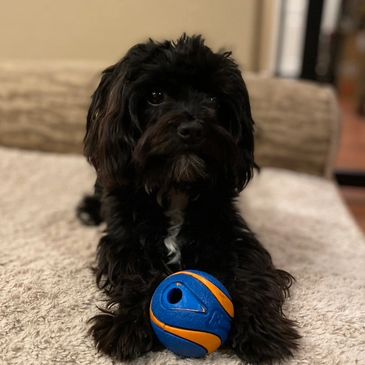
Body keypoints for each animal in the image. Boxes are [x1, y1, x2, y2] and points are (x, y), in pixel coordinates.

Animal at [77, 33, 298, 362]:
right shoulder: (124, 244)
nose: (192, 129)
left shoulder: (236, 239)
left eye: (213, 99)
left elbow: (252, 277)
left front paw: (261, 332)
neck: (176, 188)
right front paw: (126, 327)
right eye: (155, 95)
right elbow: (135, 278)